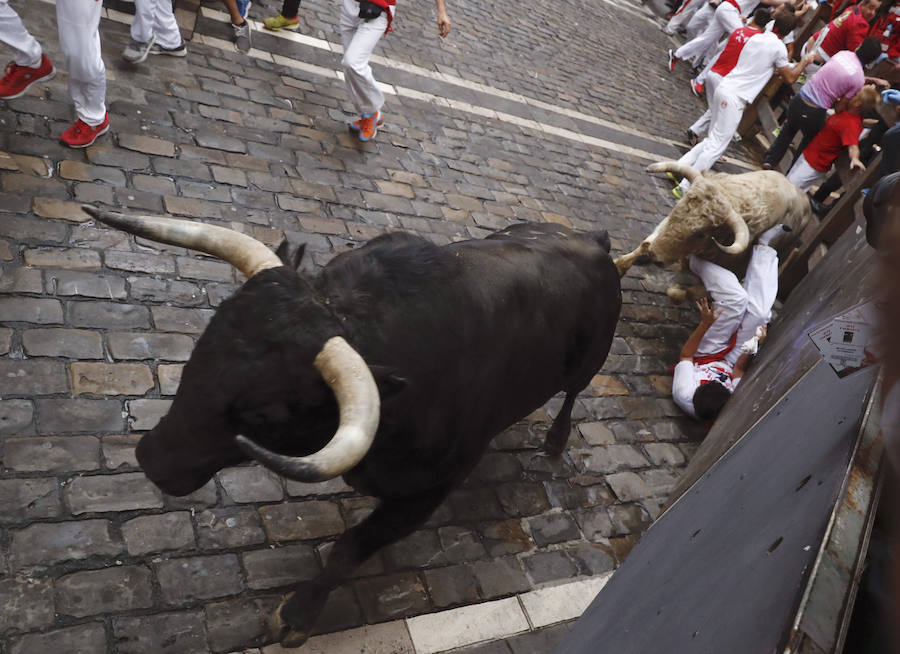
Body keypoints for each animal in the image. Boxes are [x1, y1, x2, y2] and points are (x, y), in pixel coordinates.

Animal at [84, 211, 624, 652]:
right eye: (205, 343)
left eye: (267, 413)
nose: (152, 458)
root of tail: (592, 239)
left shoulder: (428, 491)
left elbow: (348, 551)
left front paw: (296, 616)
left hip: (589, 365)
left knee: (571, 397)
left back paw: (554, 442)